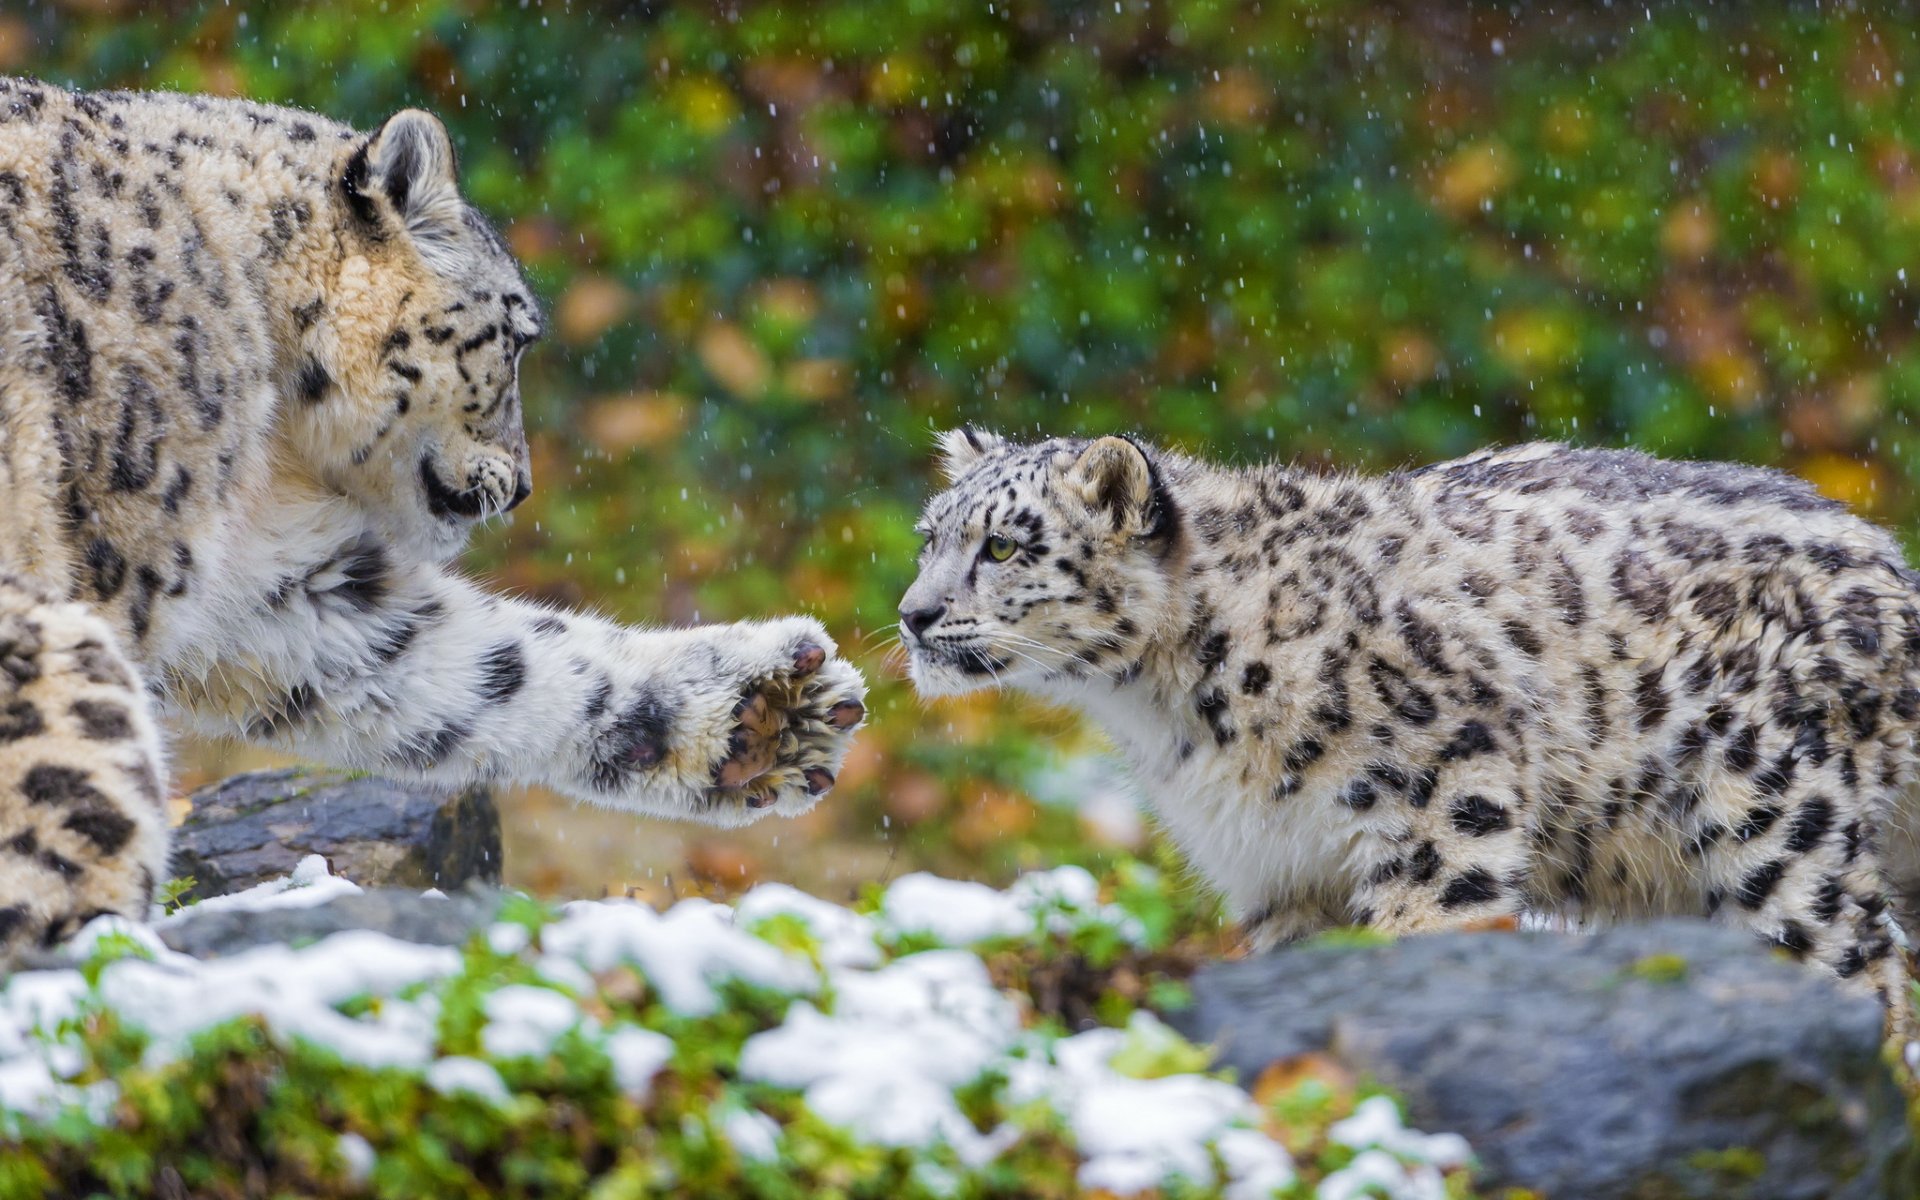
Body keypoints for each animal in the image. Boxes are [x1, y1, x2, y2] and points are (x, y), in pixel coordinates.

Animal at [0, 78, 866, 958]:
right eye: (516, 339)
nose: (524, 486)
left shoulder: (268, 579)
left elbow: (483, 663)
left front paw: (768, 712)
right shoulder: (136, 554)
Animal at [901, 429, 1920, 1029]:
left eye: (1002, 545)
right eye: (929, 536)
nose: (912, 614)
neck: (1170, 713)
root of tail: (1893, 565)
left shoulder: (1441, 803)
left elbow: (1425, 933)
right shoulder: (1279, 869)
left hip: (1776, 823)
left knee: (1863, 973)